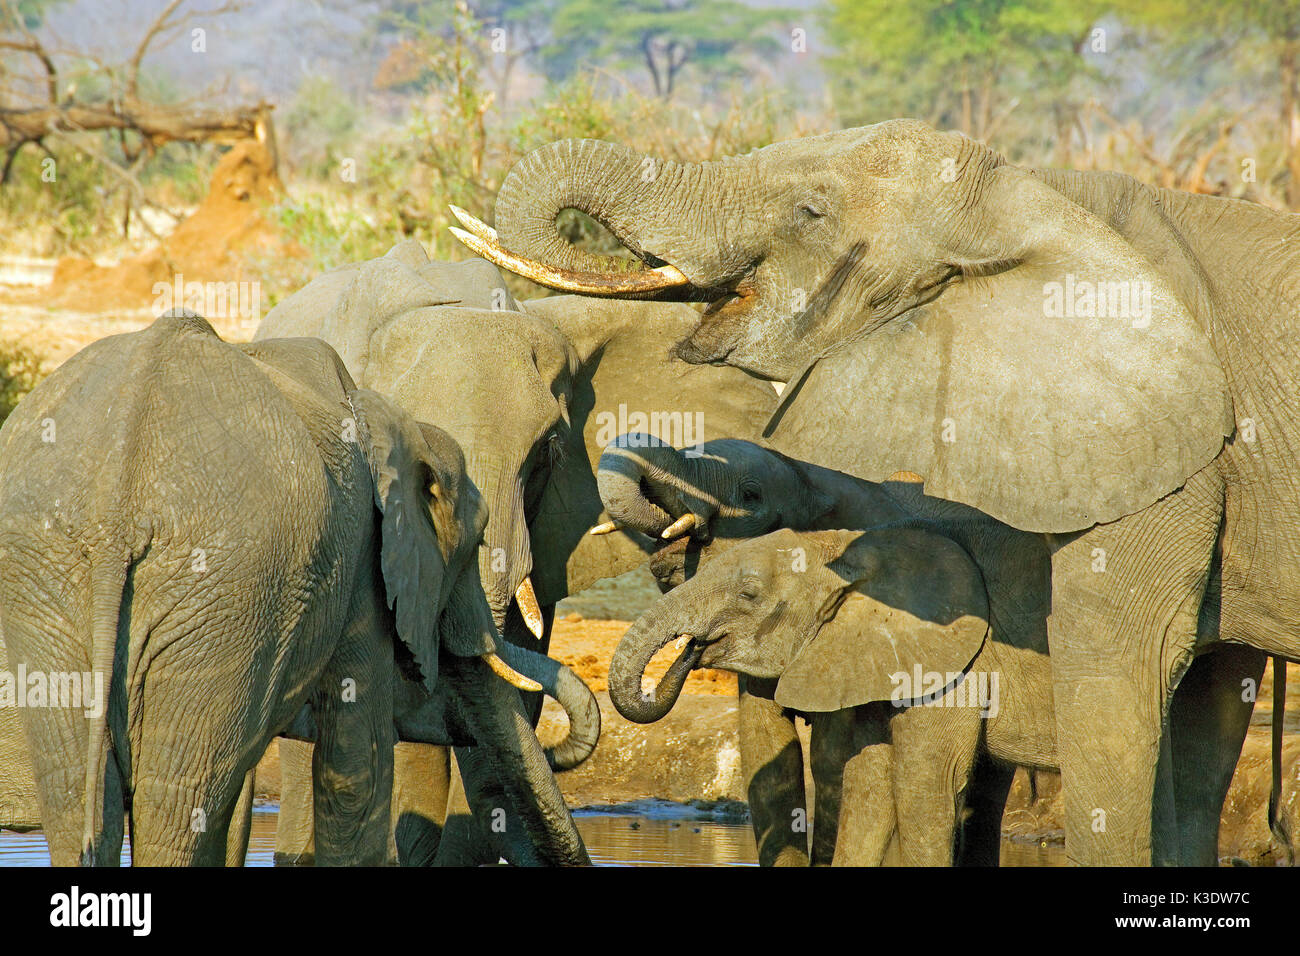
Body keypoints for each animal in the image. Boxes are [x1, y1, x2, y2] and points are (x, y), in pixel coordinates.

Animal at [0, 314, 585, 868]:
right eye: (477, 536)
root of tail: (117, 507)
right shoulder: (363, 566)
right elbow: (357, 769)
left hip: (50, 585)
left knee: (87, 797)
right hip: (233, 591)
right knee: (177, 803)